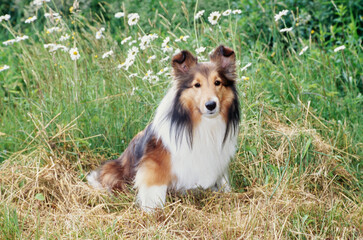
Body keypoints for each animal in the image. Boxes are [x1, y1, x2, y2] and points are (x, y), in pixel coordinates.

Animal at [88, 45, 240, 210]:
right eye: (197, 84)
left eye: (217, 82)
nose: (211, 105)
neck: (203, 123)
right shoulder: (153, 164)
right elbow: (155, 189)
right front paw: (154, 211)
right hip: (113, 170)